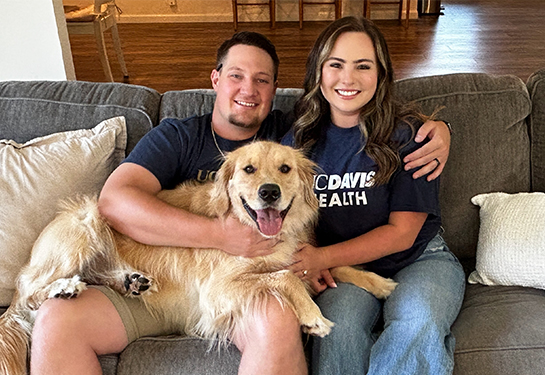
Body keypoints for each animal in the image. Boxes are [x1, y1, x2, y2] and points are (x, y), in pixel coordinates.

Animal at [1, 141, 400, 375]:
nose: (269, 192)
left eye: (285, 169)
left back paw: (130, 281)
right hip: (84, 220)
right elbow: (283, 276)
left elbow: (330, 264)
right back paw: (64, 288)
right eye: (248, 169)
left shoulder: (301, 257)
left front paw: (379, 282)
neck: (259, 232)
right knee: (30, 290)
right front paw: (312, 314)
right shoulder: (217, 291)